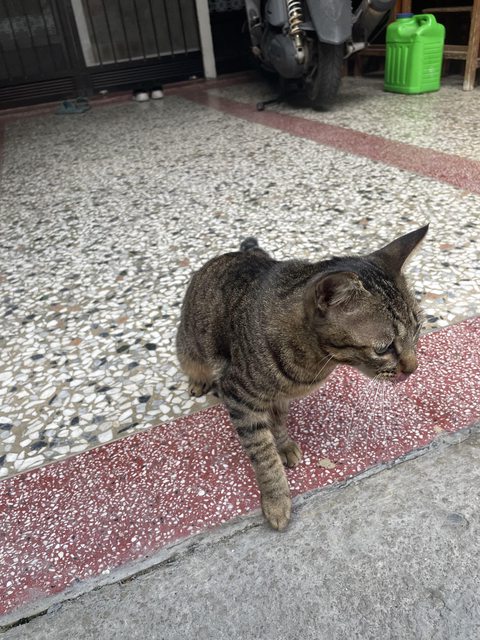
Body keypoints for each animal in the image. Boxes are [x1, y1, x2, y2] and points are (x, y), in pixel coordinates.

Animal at [176, 225, 428, 530]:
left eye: (417, 330)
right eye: (384, 348)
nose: (413, 368)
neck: (314, 361)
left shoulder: (280, 397)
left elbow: (278, 424)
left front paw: (283, 444)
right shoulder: (238, 396)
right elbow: (263, 455)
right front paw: (276, 500)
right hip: (189, 346)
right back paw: (198, 380)